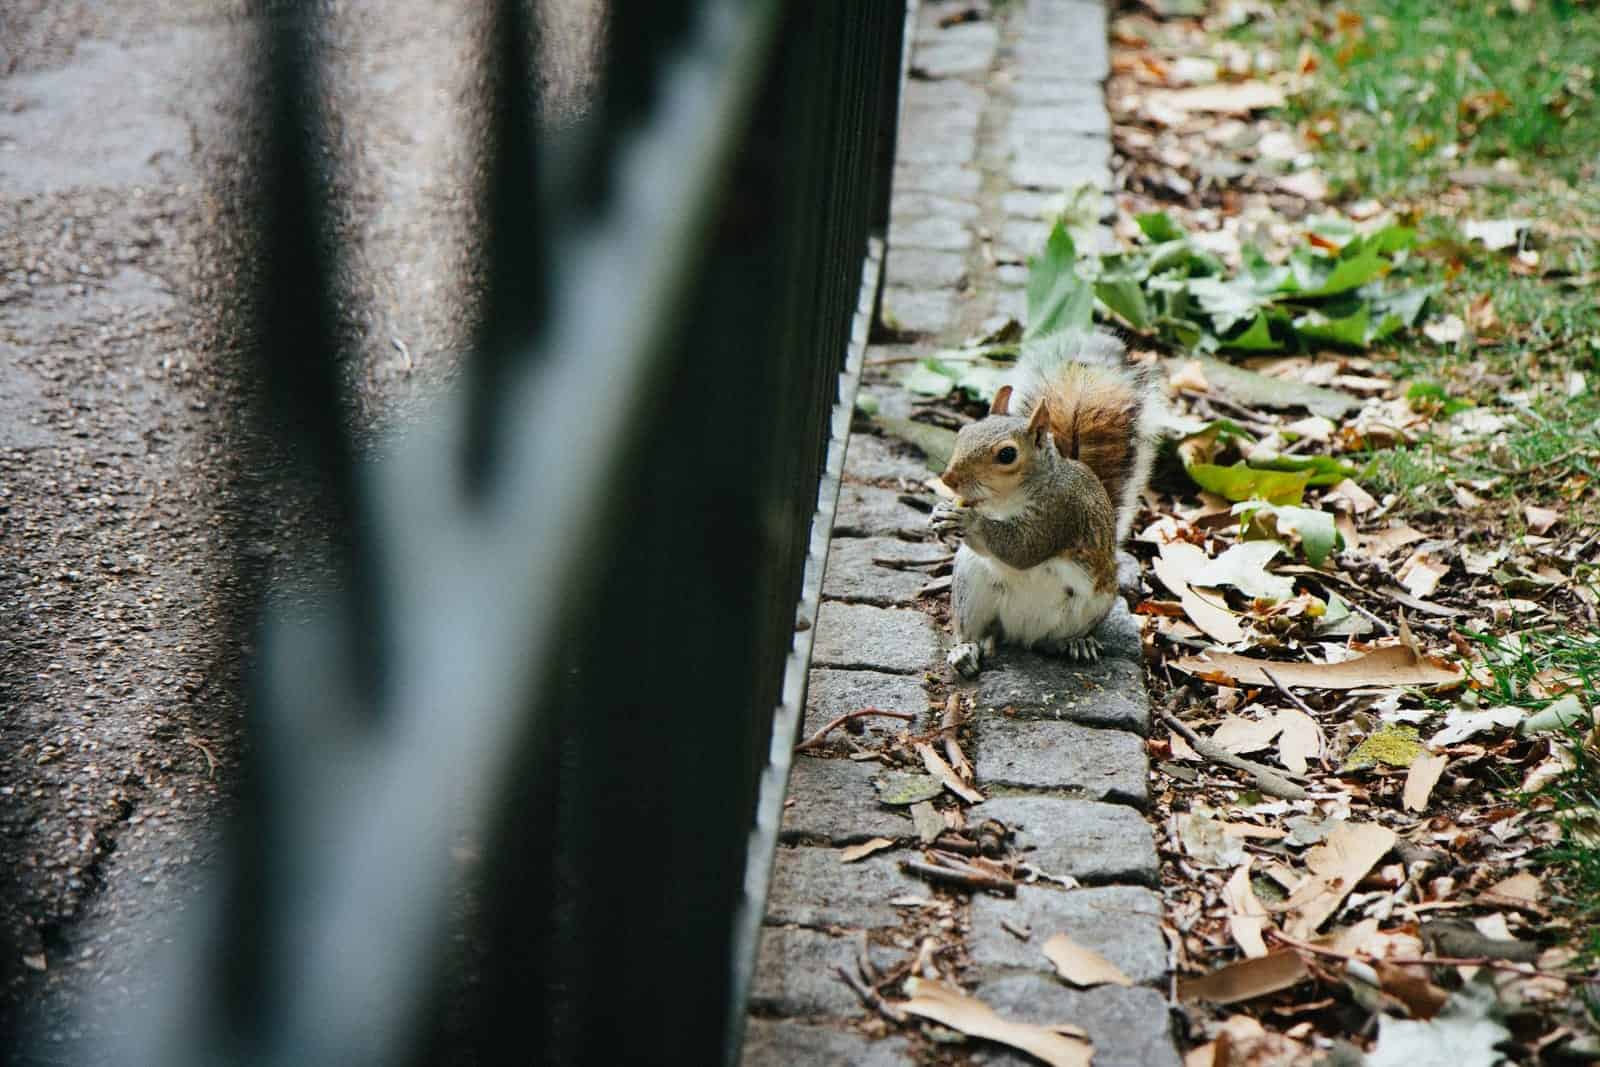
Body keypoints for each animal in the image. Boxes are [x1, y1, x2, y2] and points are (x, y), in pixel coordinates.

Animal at [930, 330, 1158, 678]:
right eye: (964, 431)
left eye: (1007, 454)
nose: (950, 479)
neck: (1004, 502)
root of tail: (1021, 631)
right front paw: (940, 512)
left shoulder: (1060, 513)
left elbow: (1022, 548)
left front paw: (969, 522)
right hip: (972, 585)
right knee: (975, 629)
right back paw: (964, 651)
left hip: (1094, 603)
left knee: (1055, 640)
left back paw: (1077, 643)